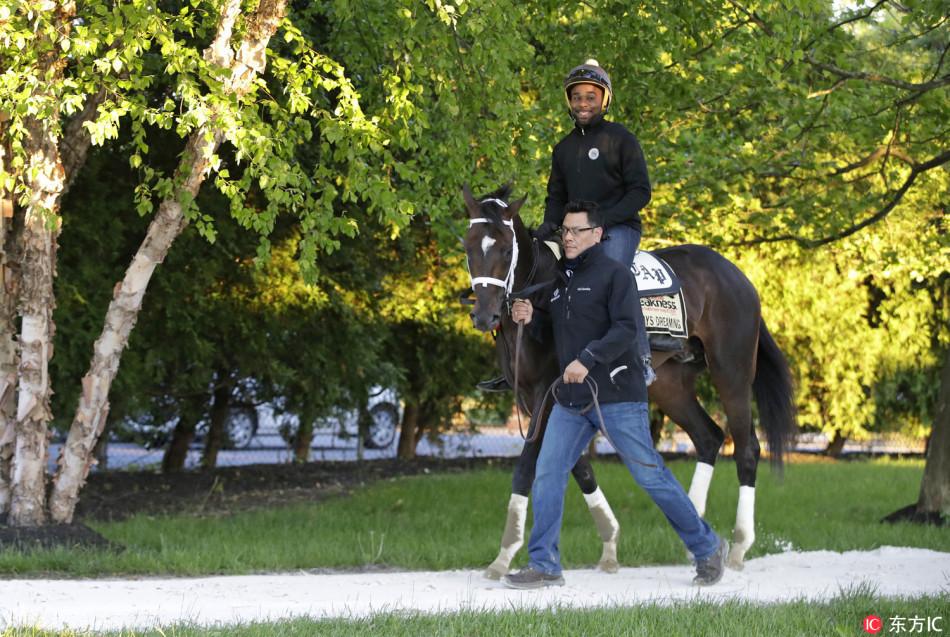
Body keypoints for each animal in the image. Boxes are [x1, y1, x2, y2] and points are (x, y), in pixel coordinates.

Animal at [464, 183, 800, 572]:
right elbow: (578, 468)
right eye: (469, 247)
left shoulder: (547, 396)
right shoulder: (537, 399)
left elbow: (529, 466)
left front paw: (504, 555)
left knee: (746, 449)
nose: (484, 316)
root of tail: (737, 276)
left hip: (732, 372)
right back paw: (697, 535)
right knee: (709, 437)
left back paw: (739, 546)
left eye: (506, 249)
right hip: (670, 386)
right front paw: (610, 543)